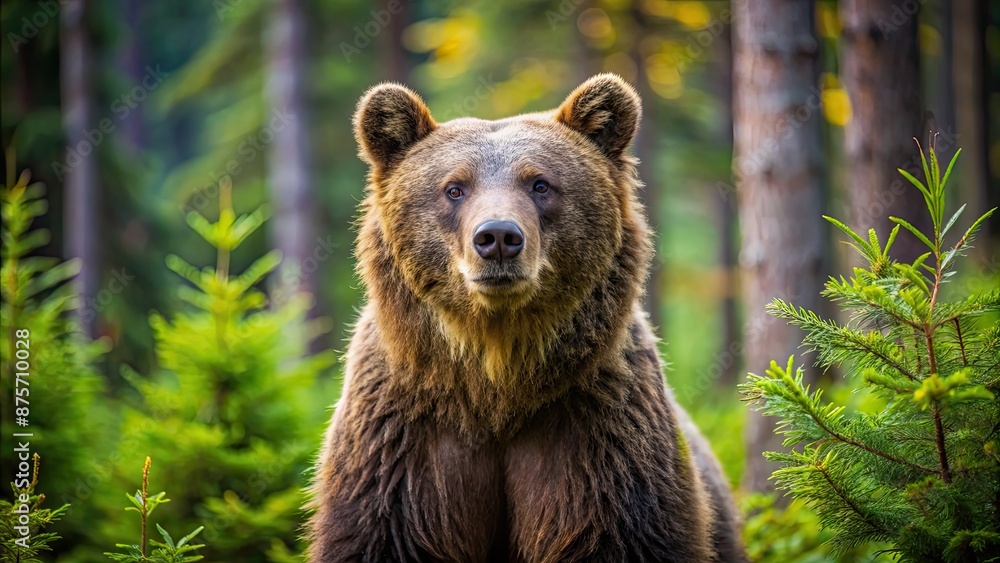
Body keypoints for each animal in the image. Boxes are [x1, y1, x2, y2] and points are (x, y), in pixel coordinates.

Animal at [307, 74, 746, 562]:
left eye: (540, 184)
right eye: (454, 188)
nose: (498, 236)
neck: (498, 381)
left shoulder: (599, 441)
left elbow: (618, 531)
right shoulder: (399, 449)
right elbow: (380, 532)